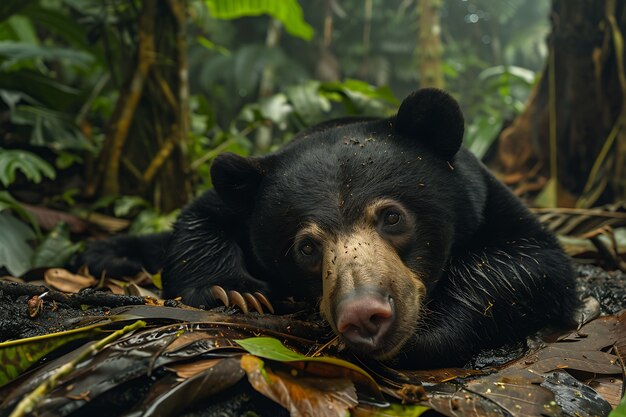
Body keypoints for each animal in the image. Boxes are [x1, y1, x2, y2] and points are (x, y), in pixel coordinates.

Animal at [80, 88, 576, 368]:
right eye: (306, 247)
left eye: (392, 217)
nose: (363, 314)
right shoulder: (234, 204)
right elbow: (199, 220)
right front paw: (236, 293)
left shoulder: (486, 198)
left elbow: (533, 262)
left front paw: (430, 332)